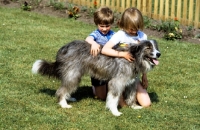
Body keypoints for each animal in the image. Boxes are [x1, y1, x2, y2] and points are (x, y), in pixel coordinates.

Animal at [32, 39, 160, 117]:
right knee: (61, 90)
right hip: (73, 74)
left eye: (155, 47)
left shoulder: (132, 82)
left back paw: (69, 98)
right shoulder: (116, 82)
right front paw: (115, 112)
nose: (159, 54)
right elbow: (113, 98)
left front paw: (134, 106)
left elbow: (131, 95)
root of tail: (64, 47)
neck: (133, 57)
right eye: (148, 48)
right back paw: (64, 104)